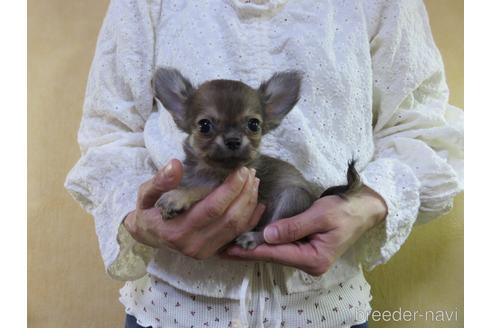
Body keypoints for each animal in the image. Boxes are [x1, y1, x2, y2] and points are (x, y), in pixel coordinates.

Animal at [152, 68, 360, 250]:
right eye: (204, 125)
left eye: (254, 125)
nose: (233, 140)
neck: (209, 169)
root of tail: (315, 198)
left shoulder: (219, 187)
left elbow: (199, 189)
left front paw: (176, 197)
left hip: (293, 197)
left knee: (270, 233)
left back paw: (252, 237)